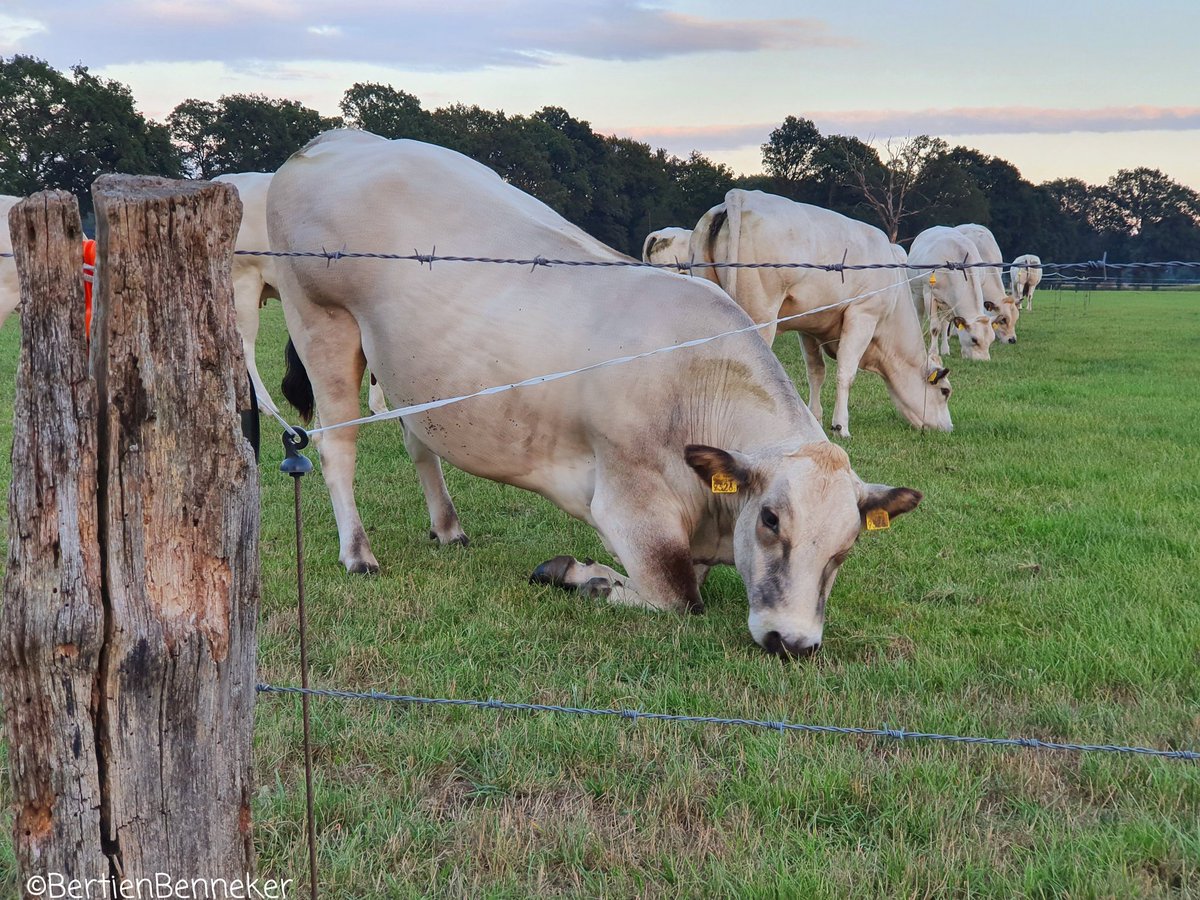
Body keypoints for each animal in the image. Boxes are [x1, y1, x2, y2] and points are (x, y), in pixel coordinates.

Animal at [267, 130, 925, 657]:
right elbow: (678, 596)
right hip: (321, 323)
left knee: (419, 443)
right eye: (769, 519)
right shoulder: (631, 508)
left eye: (845, 548)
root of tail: (334, 139)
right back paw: (358, 553)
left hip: (408, 370)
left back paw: (448, 527)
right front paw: (583, 576)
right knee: (336, 447)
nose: (792, 640)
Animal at [687, 189, 953, 439]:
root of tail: (741, 196)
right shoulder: (863, 314)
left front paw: (815, 416)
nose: (948, 428)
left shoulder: (809, 325)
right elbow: (846, 372)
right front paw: (840, 426)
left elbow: (816, 371)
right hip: (761, 315)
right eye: (945, 391)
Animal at [908, 226, 996, 361]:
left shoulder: (950, 302)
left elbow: (944, 325)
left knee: (944, 323)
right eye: (974, 339)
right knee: (919, 317)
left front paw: (944, 350)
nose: (984, 361)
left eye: (992, 339)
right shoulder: (929, 294)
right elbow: (935, 327)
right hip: (916, 293)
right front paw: (933, 352)